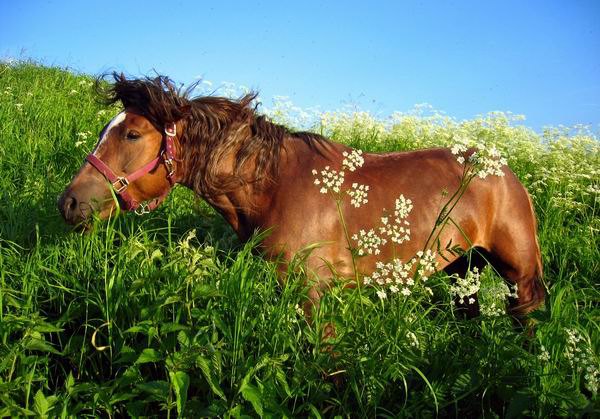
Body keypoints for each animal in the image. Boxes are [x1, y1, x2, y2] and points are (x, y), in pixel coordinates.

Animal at [58, 74, 548, 320]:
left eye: (133, 134)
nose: (70, 203)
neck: (275, 185)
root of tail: (505, 170)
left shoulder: (311, 293)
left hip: (517, 272)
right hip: (463, 269)